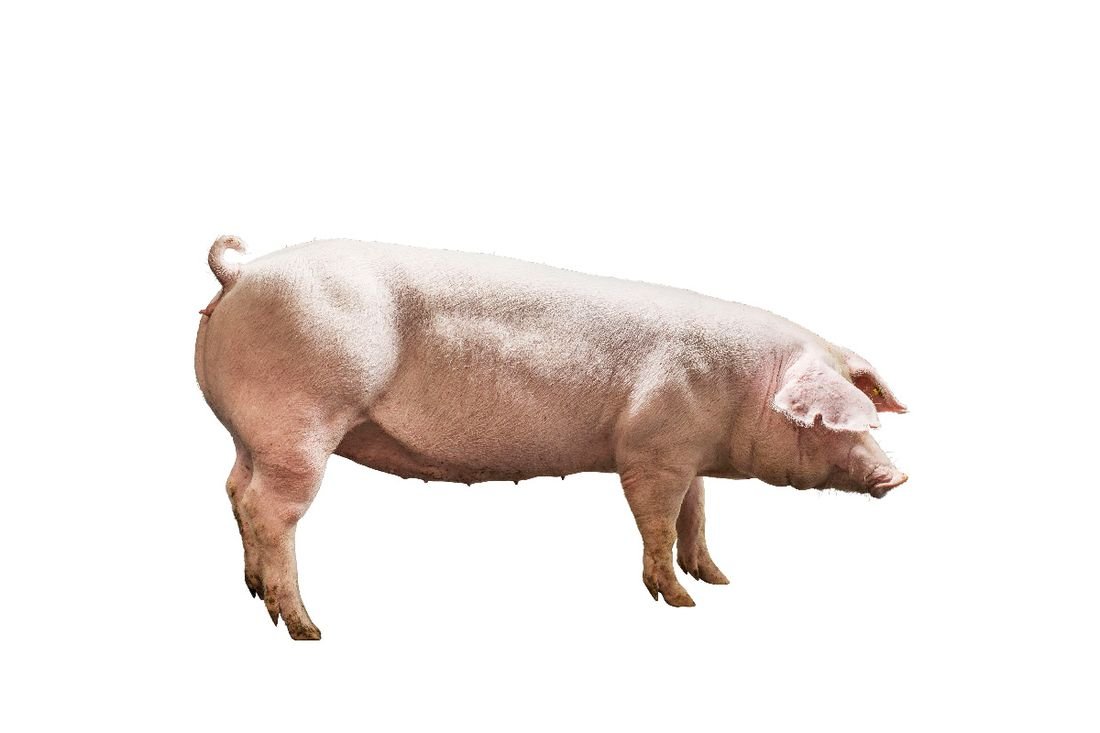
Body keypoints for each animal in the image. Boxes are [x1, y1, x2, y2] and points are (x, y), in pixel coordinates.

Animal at [195, 235, 907, 639]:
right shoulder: (648, 451)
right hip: (300, 420)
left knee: (233, 489)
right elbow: (657, 520)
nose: (896, 475)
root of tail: (240, 272)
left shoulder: (689, 455)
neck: (741, 392)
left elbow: (696, 516)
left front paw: (720, 581)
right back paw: (305, 629)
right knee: (271, 508)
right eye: (830, 422)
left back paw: (255, 593)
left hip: (248, 433)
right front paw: (681, 604)